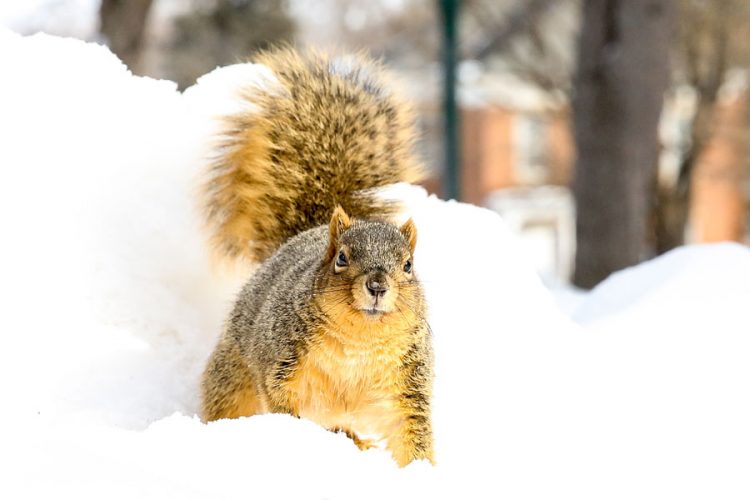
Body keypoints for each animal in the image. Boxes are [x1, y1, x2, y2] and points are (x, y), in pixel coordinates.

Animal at [200, 47, 434, 464]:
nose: (378, 286)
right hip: (233, 376)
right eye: (341, 258)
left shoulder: (405, 385)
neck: (361, 341)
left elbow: (410, 430)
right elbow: (281, 399)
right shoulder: (283, 362)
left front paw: (422, 471)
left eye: (408, 265)